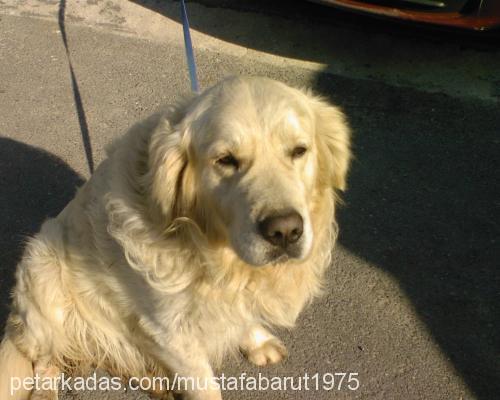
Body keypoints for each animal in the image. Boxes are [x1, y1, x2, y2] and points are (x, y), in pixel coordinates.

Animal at [0, 76, 352, 398]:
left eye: (299, 151)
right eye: (226, 160)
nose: (285, 231)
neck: (208, 246)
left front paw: (257, 340)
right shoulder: (171, 333)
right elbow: (205, 387)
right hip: (43, 270)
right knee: (46, 364)